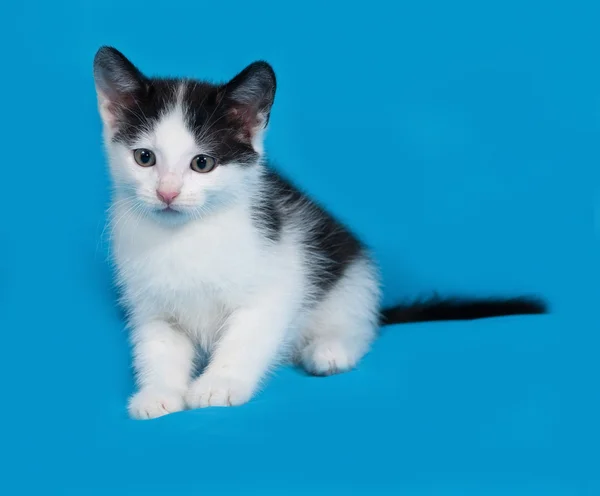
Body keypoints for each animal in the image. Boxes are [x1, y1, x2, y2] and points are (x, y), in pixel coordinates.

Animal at [91, 45, 548, 418]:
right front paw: (158, 394)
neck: (185, 236)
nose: (167, 193)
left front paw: (219, 384)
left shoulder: (278, 278)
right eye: (145, 158)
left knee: (359, 326)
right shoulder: (152, 305)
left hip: (351, 275)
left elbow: (246, 336)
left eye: (202, 163)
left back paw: (331, 350)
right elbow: (157, 348)